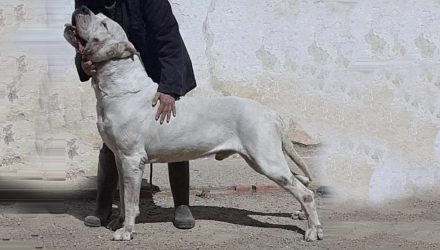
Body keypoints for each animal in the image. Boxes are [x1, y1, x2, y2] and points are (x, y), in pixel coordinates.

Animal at [63, 6, 322, 242]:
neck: (120, 86)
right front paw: (118, 222)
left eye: (104, 24)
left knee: (305, 192)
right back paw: (304, 218)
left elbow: (131, 200)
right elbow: (124, 195)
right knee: (302, 183)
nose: (82, 8)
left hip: (266, 160)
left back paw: (312, 230)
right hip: (261, 160)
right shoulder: (120, 158)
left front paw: (126, 231)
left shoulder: (132, 159)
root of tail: (272, 113)